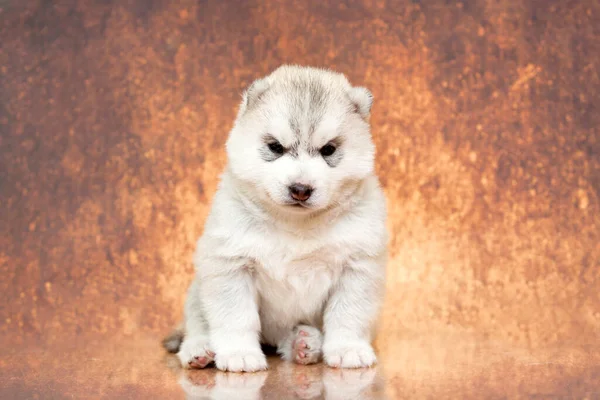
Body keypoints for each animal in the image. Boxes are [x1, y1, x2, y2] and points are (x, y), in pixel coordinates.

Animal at [163, 65, 390, 372]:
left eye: (328, 150)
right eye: (275, 147)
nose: (300, 189)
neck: (294, 224)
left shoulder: (358, 267)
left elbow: (348, 315)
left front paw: (347, 348)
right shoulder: (230, 266)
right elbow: (237, 317)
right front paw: (239, 353)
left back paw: (304, 343)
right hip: (198, 291)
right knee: (197, 324)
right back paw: (199, 350)